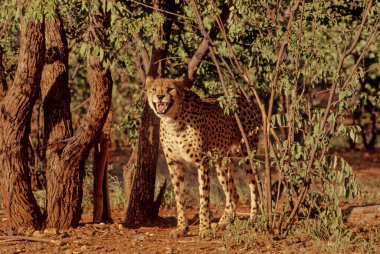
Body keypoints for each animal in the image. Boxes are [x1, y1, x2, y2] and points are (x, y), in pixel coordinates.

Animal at [146, 77, 262, 238]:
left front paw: (205, 229)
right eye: (154, 89)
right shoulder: (174, 163)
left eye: (170, 89)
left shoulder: (202, 162)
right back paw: (224, 222)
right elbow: (179, 198)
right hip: (221, 162)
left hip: (248, 155)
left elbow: (204, 199)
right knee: (233, 194)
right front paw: (182, 228)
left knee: (254, 187)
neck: (172, 121)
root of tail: (239, 96)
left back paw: (253, 219)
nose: (160, 96)